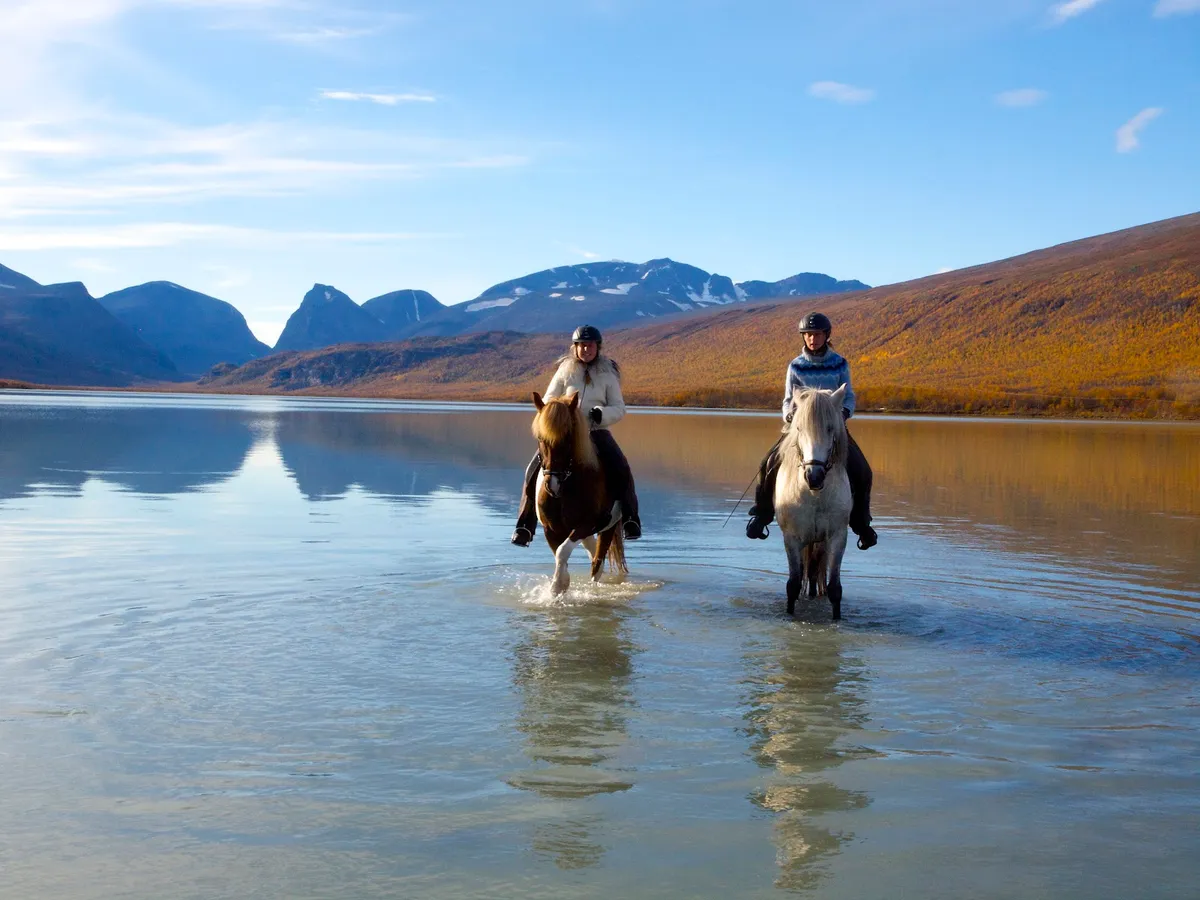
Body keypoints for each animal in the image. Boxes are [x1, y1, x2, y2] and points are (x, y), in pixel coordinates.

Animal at [530, 390, 627, 595]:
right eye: (540, 437)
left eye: (568, 437)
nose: (553, 484)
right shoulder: (551, 529)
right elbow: (560, 555)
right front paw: (559, 588)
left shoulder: (586, 525)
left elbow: (563, 552)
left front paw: (557, 586)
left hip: (608, 528)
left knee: (598, 563)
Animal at [774, 385, 853, 619]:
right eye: (799, 428)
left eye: (830, 428)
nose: (814, 476)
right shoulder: (792, 538)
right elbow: (792, 585)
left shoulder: (837, 537)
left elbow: (835, 588)